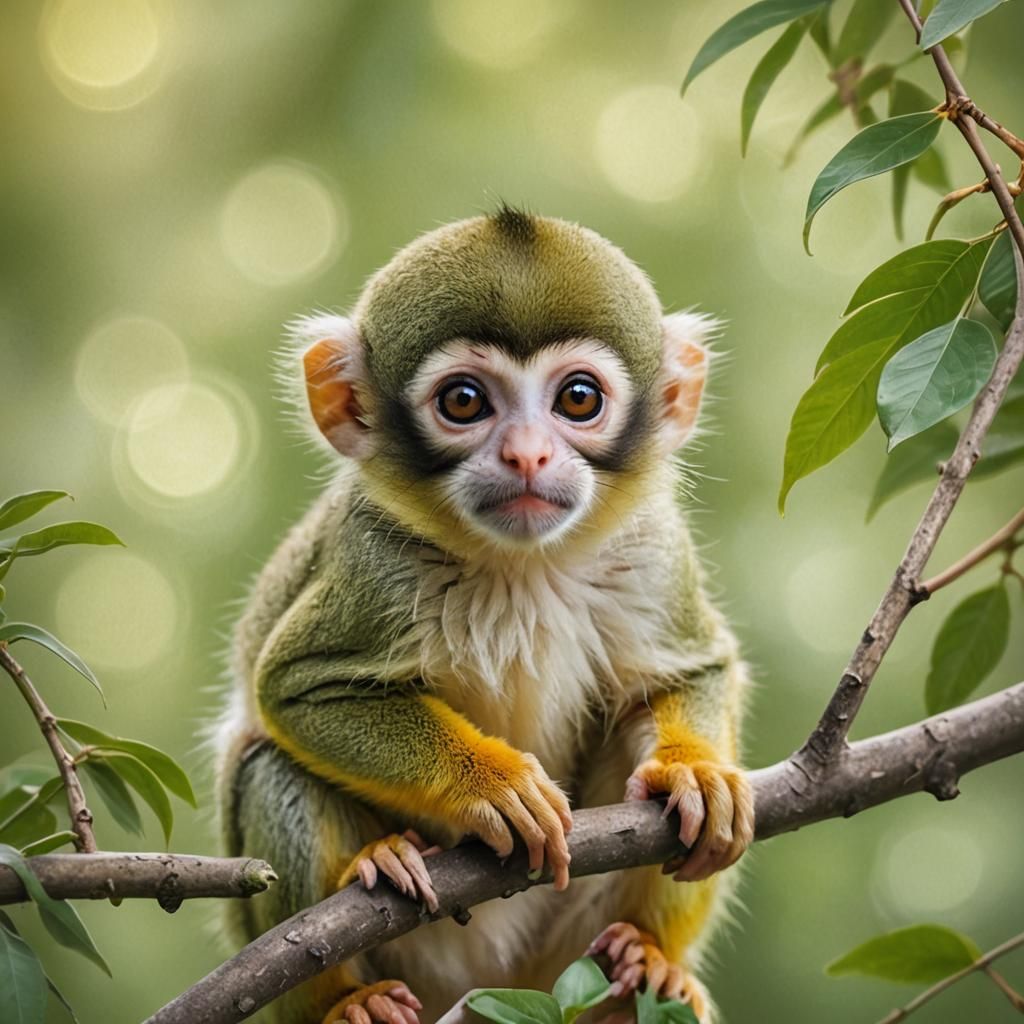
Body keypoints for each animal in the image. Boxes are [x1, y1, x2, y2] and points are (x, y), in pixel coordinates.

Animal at [216, 206, 754, 1024]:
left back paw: (647, 959)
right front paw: (489, 786)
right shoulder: (373, 561)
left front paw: (695, 774)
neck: (520, 566)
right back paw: (347, 987)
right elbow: (299, 689)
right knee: (266, 764)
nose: (527, 455)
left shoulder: (652, 545)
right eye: (464, 402)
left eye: (578, 399)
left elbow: (692, 667)